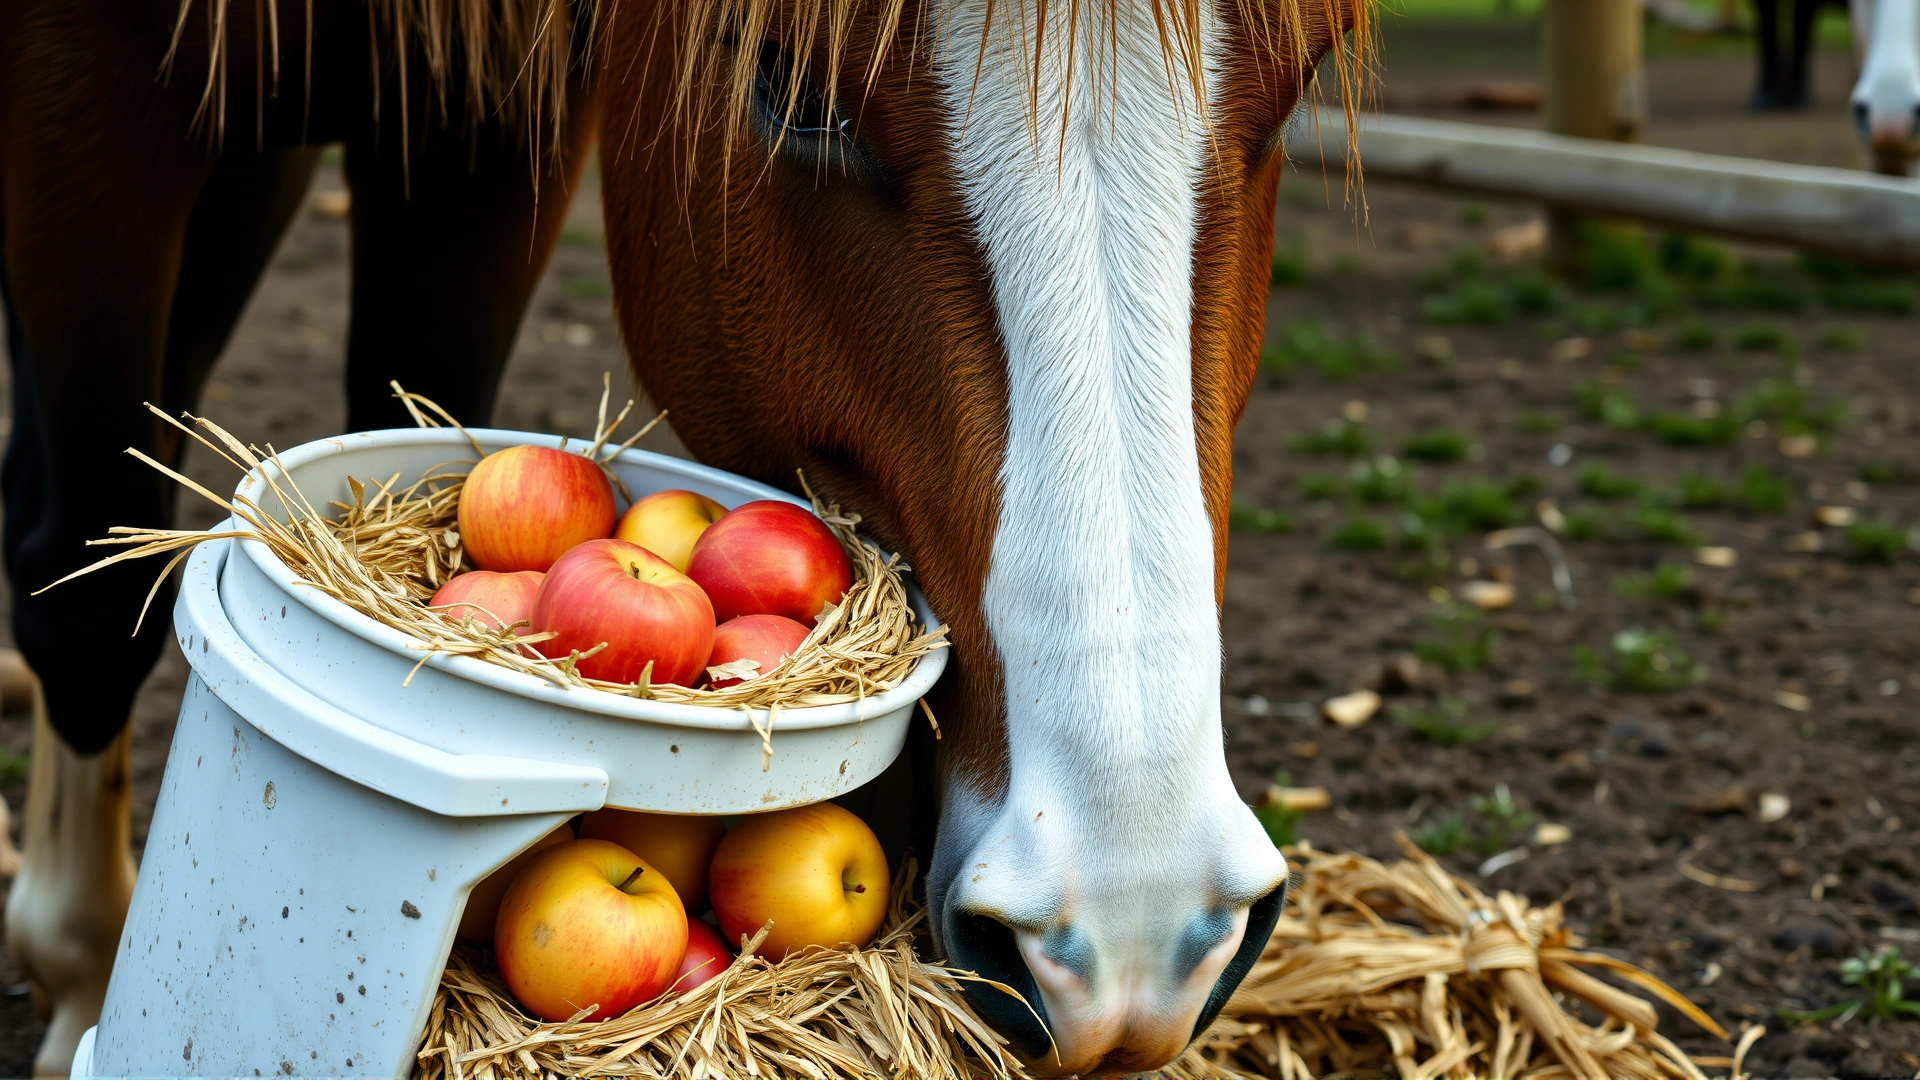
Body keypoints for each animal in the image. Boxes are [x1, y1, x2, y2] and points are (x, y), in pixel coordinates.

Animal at [0, 0, 1363, 1070]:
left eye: (1305, 84)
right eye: (788, 88)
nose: (1135, 930)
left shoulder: (488, 127)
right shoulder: (85, 105)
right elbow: (80, 584)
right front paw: (75, 975)